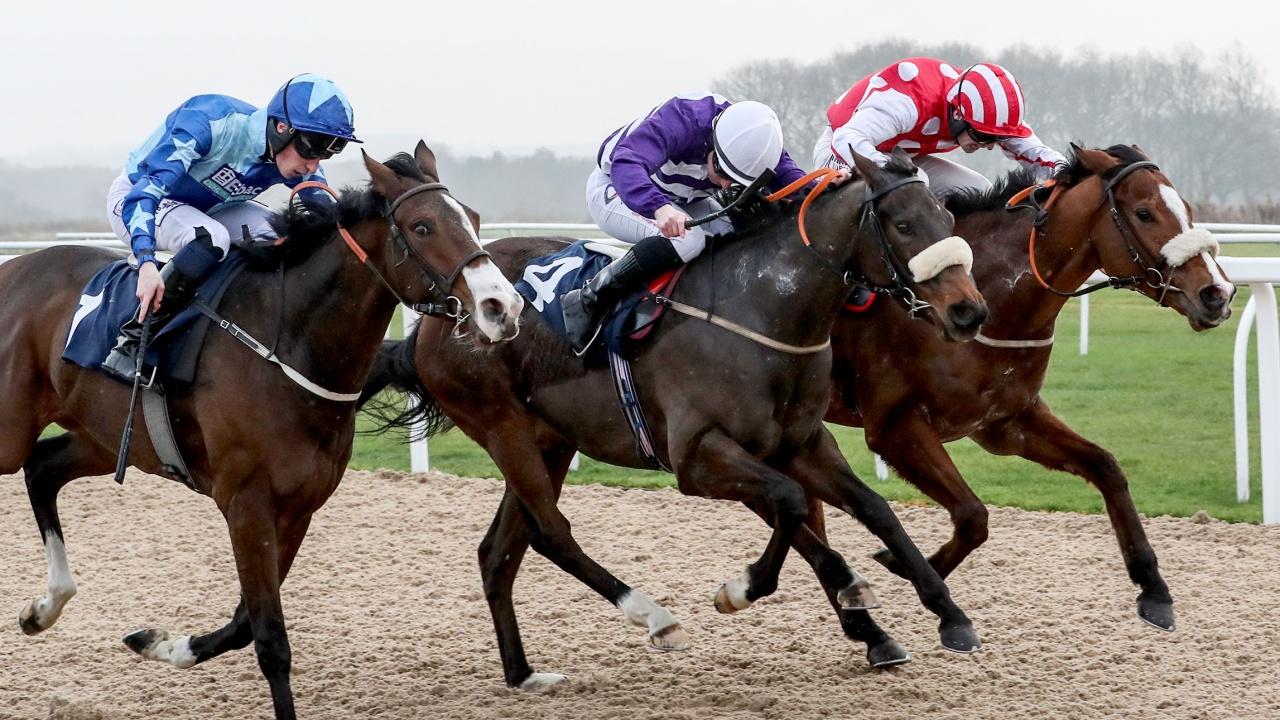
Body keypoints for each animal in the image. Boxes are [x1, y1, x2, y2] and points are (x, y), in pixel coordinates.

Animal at [3, 141, 524, 717]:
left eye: (473, 219)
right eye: (422, 226)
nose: (503, 308)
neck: (290, 345)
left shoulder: (298, 506)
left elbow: (243, 625)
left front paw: (160, 643)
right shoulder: (246, 505)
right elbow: (271, 640)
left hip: (106, 435)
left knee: (42, 467)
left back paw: (43, 608)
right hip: (16, 428)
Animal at [360, 149, 988, 681]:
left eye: (944, 217)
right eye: (902, 224)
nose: (969, 311)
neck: (761, 312)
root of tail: (443, 316)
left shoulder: (803, 443)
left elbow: (874, 509)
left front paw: (946, 615)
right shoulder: (698, 456)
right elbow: (792, 508)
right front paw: (747, 588)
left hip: (549, 440)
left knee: (500, 552)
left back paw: (523, 673)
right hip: (503, 429)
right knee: (551, 535)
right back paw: (653, 617)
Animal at [824, 144, 1233, 627]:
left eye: (1186, 208)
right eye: (1145, 213)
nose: (1218, 294)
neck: (991, 301)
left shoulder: (1005, 421)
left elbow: (1106, 467)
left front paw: (1153, 587)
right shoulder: (894, 427)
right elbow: (973, 514)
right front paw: (906, 568)